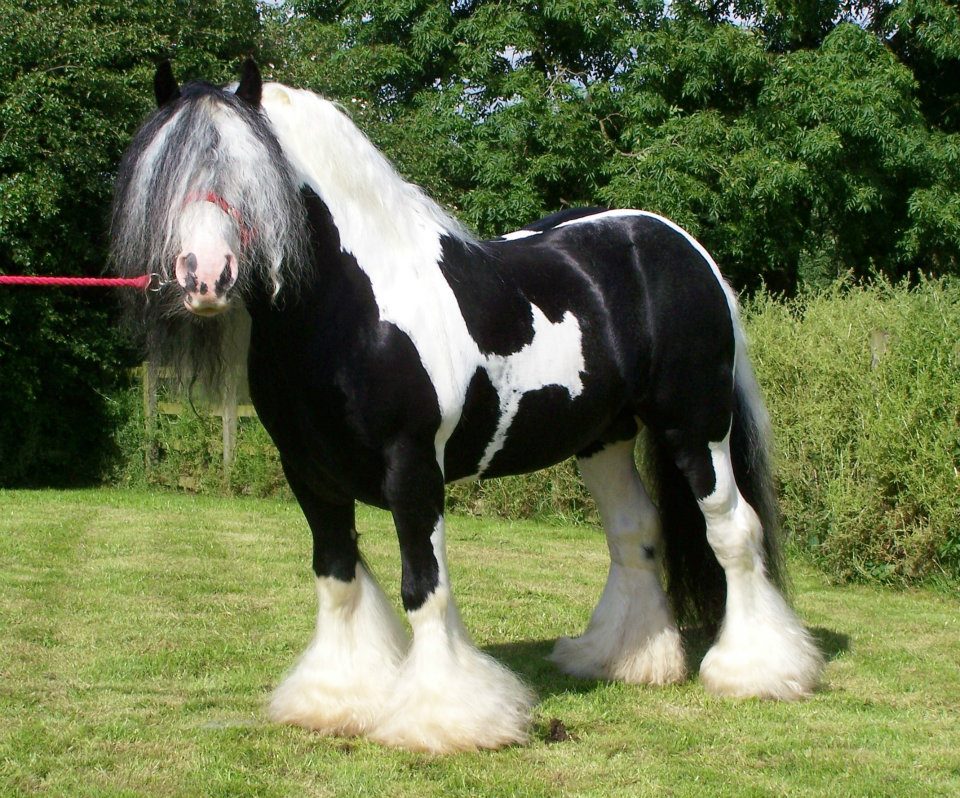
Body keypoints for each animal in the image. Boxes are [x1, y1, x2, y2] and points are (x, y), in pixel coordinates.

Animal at [109, 59, 820, 752]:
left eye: (254, 172)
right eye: (163, 173)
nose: (204, 275)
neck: (353, 310)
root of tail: (680, 244)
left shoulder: (413, 470)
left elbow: (425, 588)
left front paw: (446, 719)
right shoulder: (309, 475)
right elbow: (336, 577)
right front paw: (335, 701)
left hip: (695, 427)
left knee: (734, 530)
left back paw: (759, 671)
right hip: (604, 437)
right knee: (634, 531)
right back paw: (626, 660)